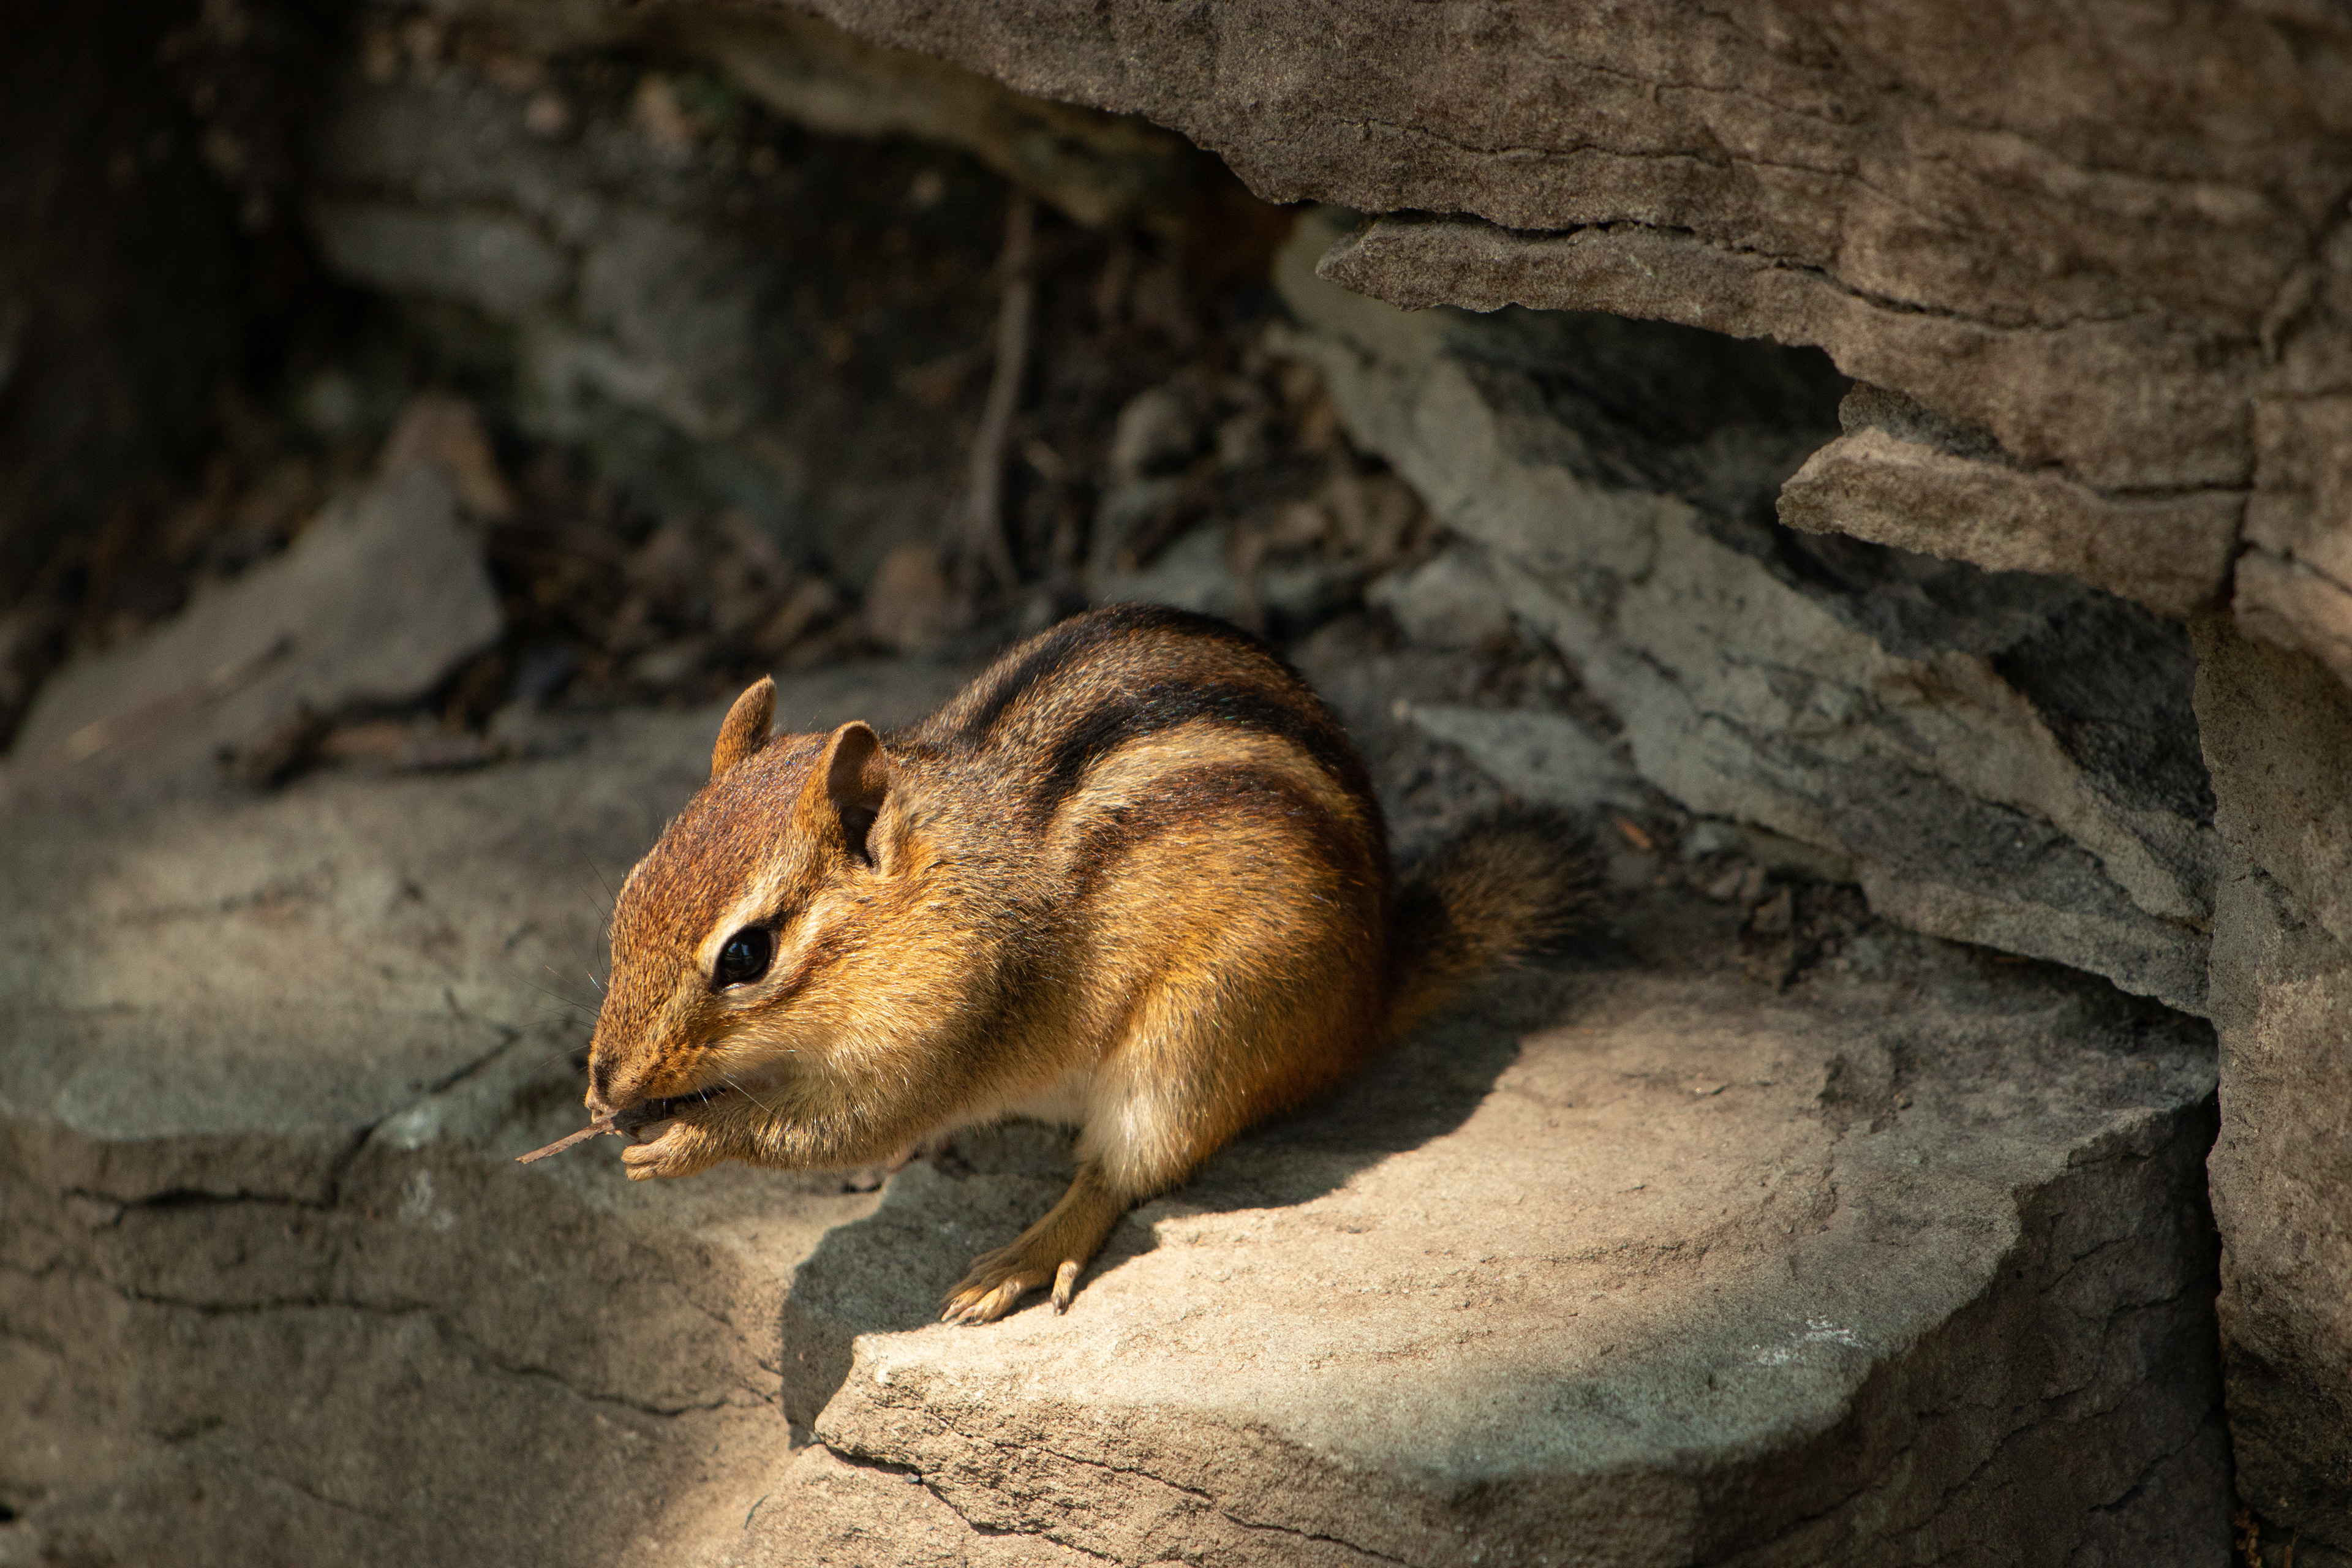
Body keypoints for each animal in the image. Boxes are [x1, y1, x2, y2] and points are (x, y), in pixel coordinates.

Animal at [583, 603, 1598, 1323]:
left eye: (746, 954)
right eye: (627, 893)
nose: (607, 1084)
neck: (941, 885)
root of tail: (1372, 993)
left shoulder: (943, 1028)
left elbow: (845, 1125)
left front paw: (687, 1139)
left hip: (1193, 1042)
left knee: (1125, 1173)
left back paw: (1025, 1257)